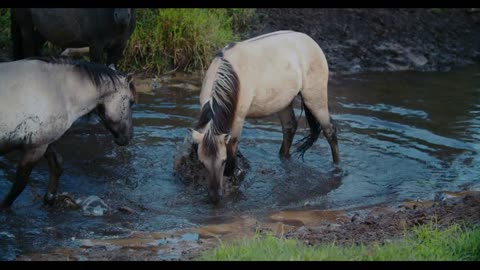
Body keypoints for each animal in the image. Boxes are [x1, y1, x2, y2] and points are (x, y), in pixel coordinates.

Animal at [0, 57, 136, 209]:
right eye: (131, 102)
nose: (128, 136)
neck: (57, 90)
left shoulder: (44, 142)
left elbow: (57, 165)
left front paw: (50, 198)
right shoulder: (35, 148)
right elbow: (20, 184)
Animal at [189, 30, 340, 202]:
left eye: (222, 161)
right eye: (202, 163)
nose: (215, 197)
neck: (229, 73)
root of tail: (310, 41)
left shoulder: (238, 120)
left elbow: (232, 147)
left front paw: (232, 176)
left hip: (315, 98)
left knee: (330, 131)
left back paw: (337, 167)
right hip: (283, 102)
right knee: (290, 128)